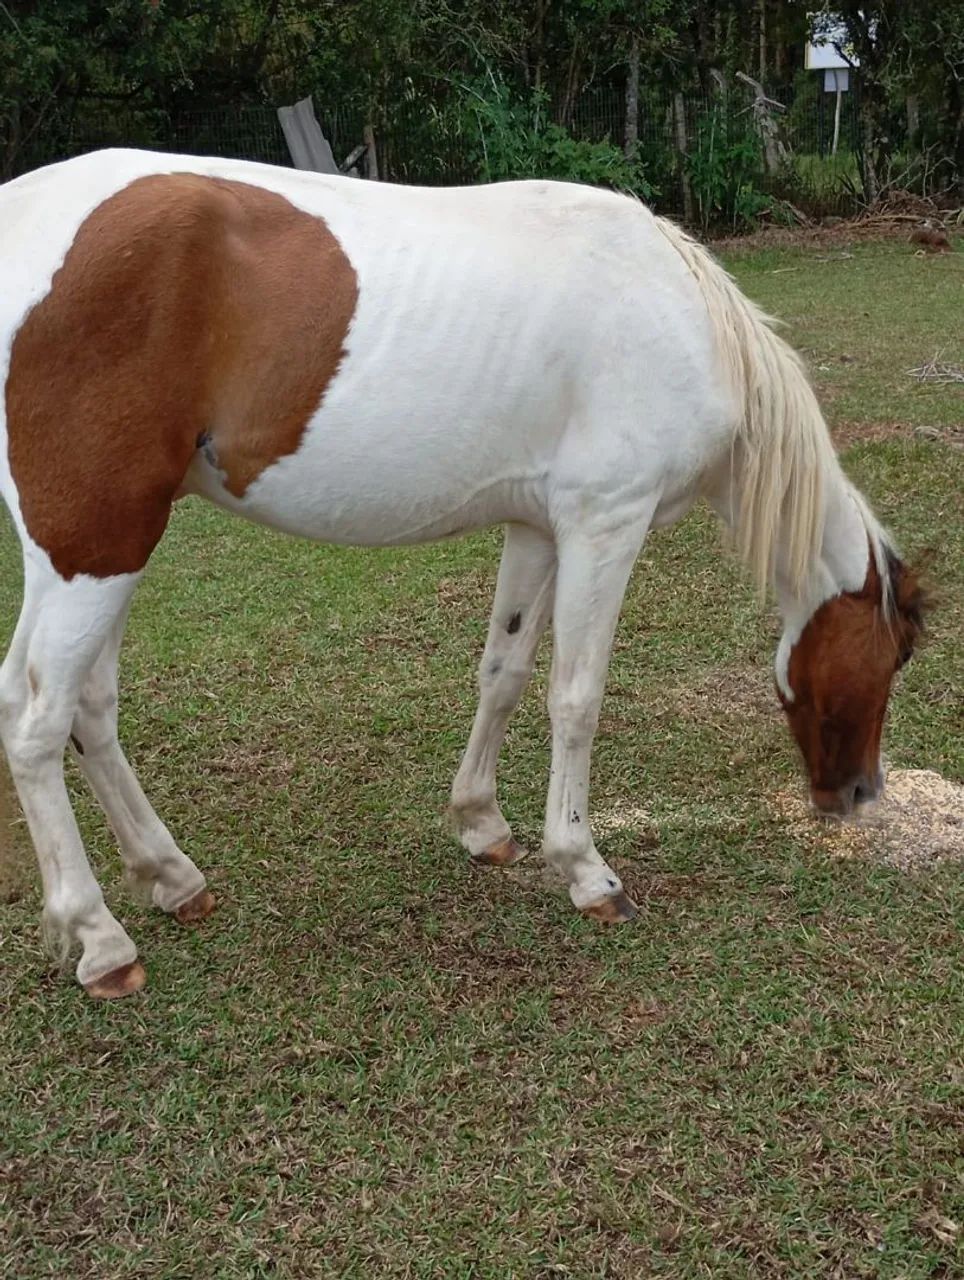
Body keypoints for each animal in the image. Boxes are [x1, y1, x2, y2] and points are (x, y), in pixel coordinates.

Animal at [0, 149, 925, 998]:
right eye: (898, 656)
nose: (859, 794)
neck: (679, 315)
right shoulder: (605, 524)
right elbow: (577, 699)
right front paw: (585, 869)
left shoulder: (539, 529)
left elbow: (504, 672)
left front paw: (482, 824)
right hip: (96, 548)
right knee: (39, 726)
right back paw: (101, 939)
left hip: (102, 553)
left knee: (85, 708)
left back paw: (170, 876)